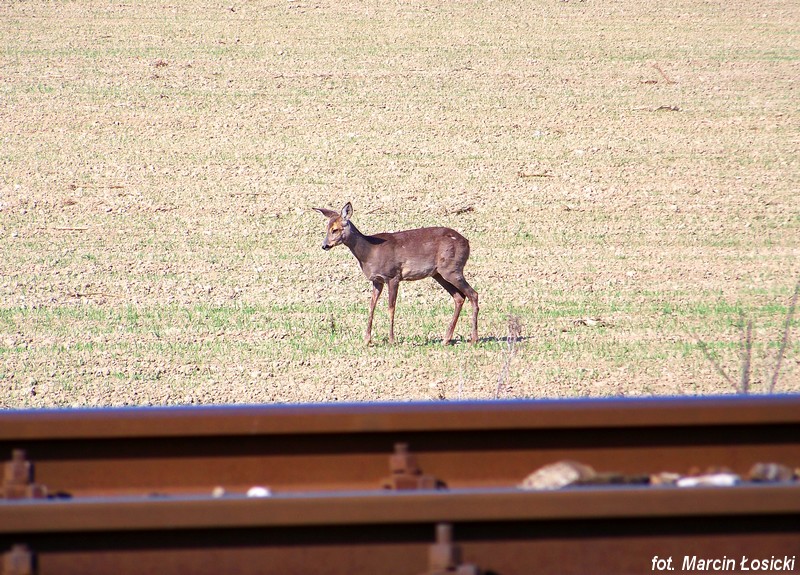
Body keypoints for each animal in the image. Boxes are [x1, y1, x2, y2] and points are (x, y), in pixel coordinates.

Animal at [314, 202, 478, 346]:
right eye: (327, 228)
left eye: (335, 229)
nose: (324, 245)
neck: (369, 252)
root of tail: (467, 242)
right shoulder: (377, 280)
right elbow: (371, 306)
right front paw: (367, 340)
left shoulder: (393, 276)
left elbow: (391, 308)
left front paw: (392, 340)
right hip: (439, 273)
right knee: (459, 297)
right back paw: (446, 339)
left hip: (452, 269)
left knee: (473, 294)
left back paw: (473, 339)